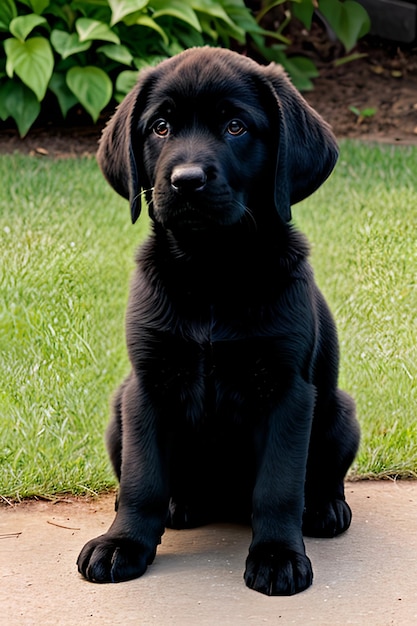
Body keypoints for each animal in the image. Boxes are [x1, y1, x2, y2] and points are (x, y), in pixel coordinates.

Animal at [76, 46, 360, 592]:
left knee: (321, 477)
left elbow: (279, 485)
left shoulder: (287, 391)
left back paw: (325, 508)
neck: (211, 272)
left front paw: (277, 555)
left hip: (340, 412)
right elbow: (142, 479)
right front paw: (123, 543)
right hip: (119, 410)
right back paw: (178, 504)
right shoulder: (148, 385)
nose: (186, 180)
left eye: (235, 126)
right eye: (160, 126)